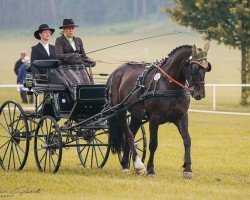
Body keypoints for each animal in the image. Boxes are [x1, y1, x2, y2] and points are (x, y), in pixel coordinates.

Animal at [105, 42, 211, 178]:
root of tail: (116, 72)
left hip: (136, 114)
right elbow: (153, 144)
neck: (169, 84)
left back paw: (126, 164)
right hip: (120, 111)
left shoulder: (182, 117)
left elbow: (187, 140)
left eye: (207, 69)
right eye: (194, 69)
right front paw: (151, 170)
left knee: (131, 133)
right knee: (128, 134)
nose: (200, 94)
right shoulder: (154, 119)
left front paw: (188, 169)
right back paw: (139, 165)